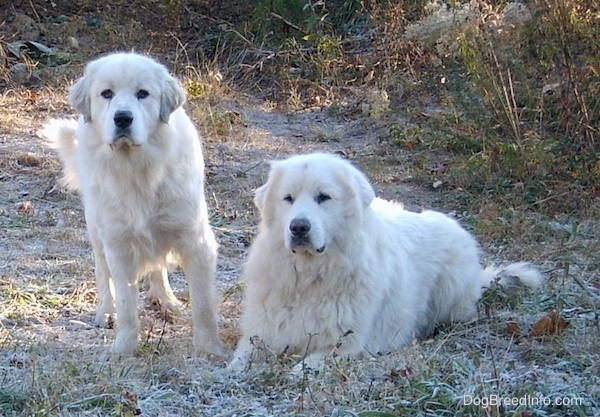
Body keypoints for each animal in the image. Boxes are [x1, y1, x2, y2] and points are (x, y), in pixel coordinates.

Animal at [40, 52, 223, 356]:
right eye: (107, 94)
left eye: (142, 94)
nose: (123, 118)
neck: (137, 170)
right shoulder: (119, 246)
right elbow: (127, 306)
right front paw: (123, 349)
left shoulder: (196, 242)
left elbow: (204, 305)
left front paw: (209, 348)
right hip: (97, 230)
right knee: (104, 274)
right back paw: (106, 312)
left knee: (158, 267)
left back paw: (167, 301)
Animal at [230, 152, 540, 368]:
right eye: (288, 198)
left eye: (323, 197)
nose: (298, 227)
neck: (309, 277)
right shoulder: (261, 332)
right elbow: (240, 359)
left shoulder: (348, 343)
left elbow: (308, 365)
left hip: (451, 294)